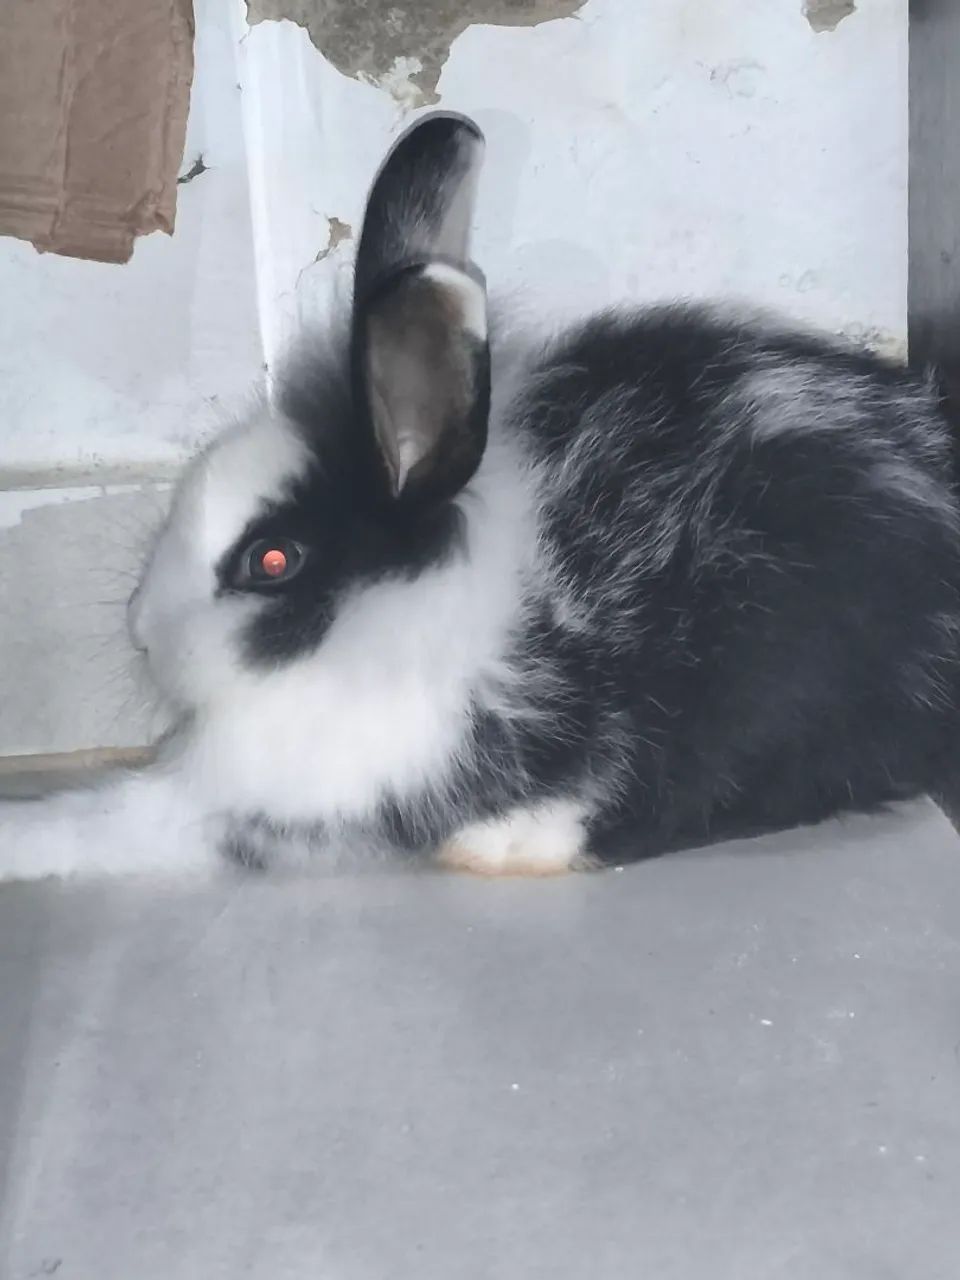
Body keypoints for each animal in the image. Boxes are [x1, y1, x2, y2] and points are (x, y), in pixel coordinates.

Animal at [2, 110, 960, 884]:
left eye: (272, 560)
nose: (140, 631)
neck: (391, 612)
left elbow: (114, 823)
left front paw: (22, 843)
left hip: (778, 668)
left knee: (754, 787)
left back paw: (512, 841)